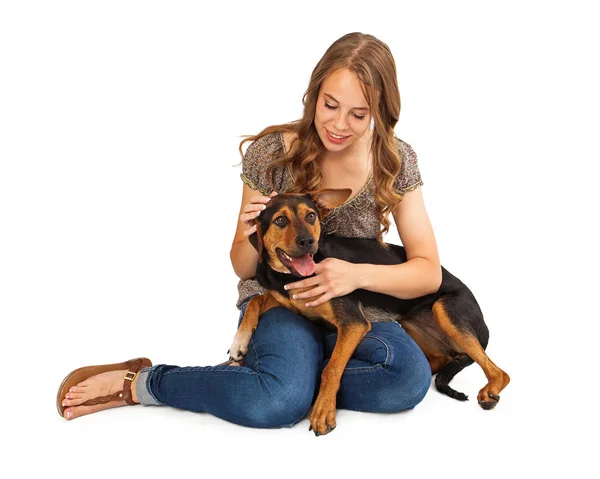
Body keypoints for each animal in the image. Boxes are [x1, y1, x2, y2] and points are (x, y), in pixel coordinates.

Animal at [227, 189, 508, 436]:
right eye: (280, 220)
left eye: (311, 216)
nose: (307, 242)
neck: (289, 277)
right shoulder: (288, 299)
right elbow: (257, 300)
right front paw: (239, 343)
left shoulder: (353, 323)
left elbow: (331, 368)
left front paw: (323, 411)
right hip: (412, 323)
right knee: (441, 359)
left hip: (445, 310)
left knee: (499, 372)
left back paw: (489, 392)